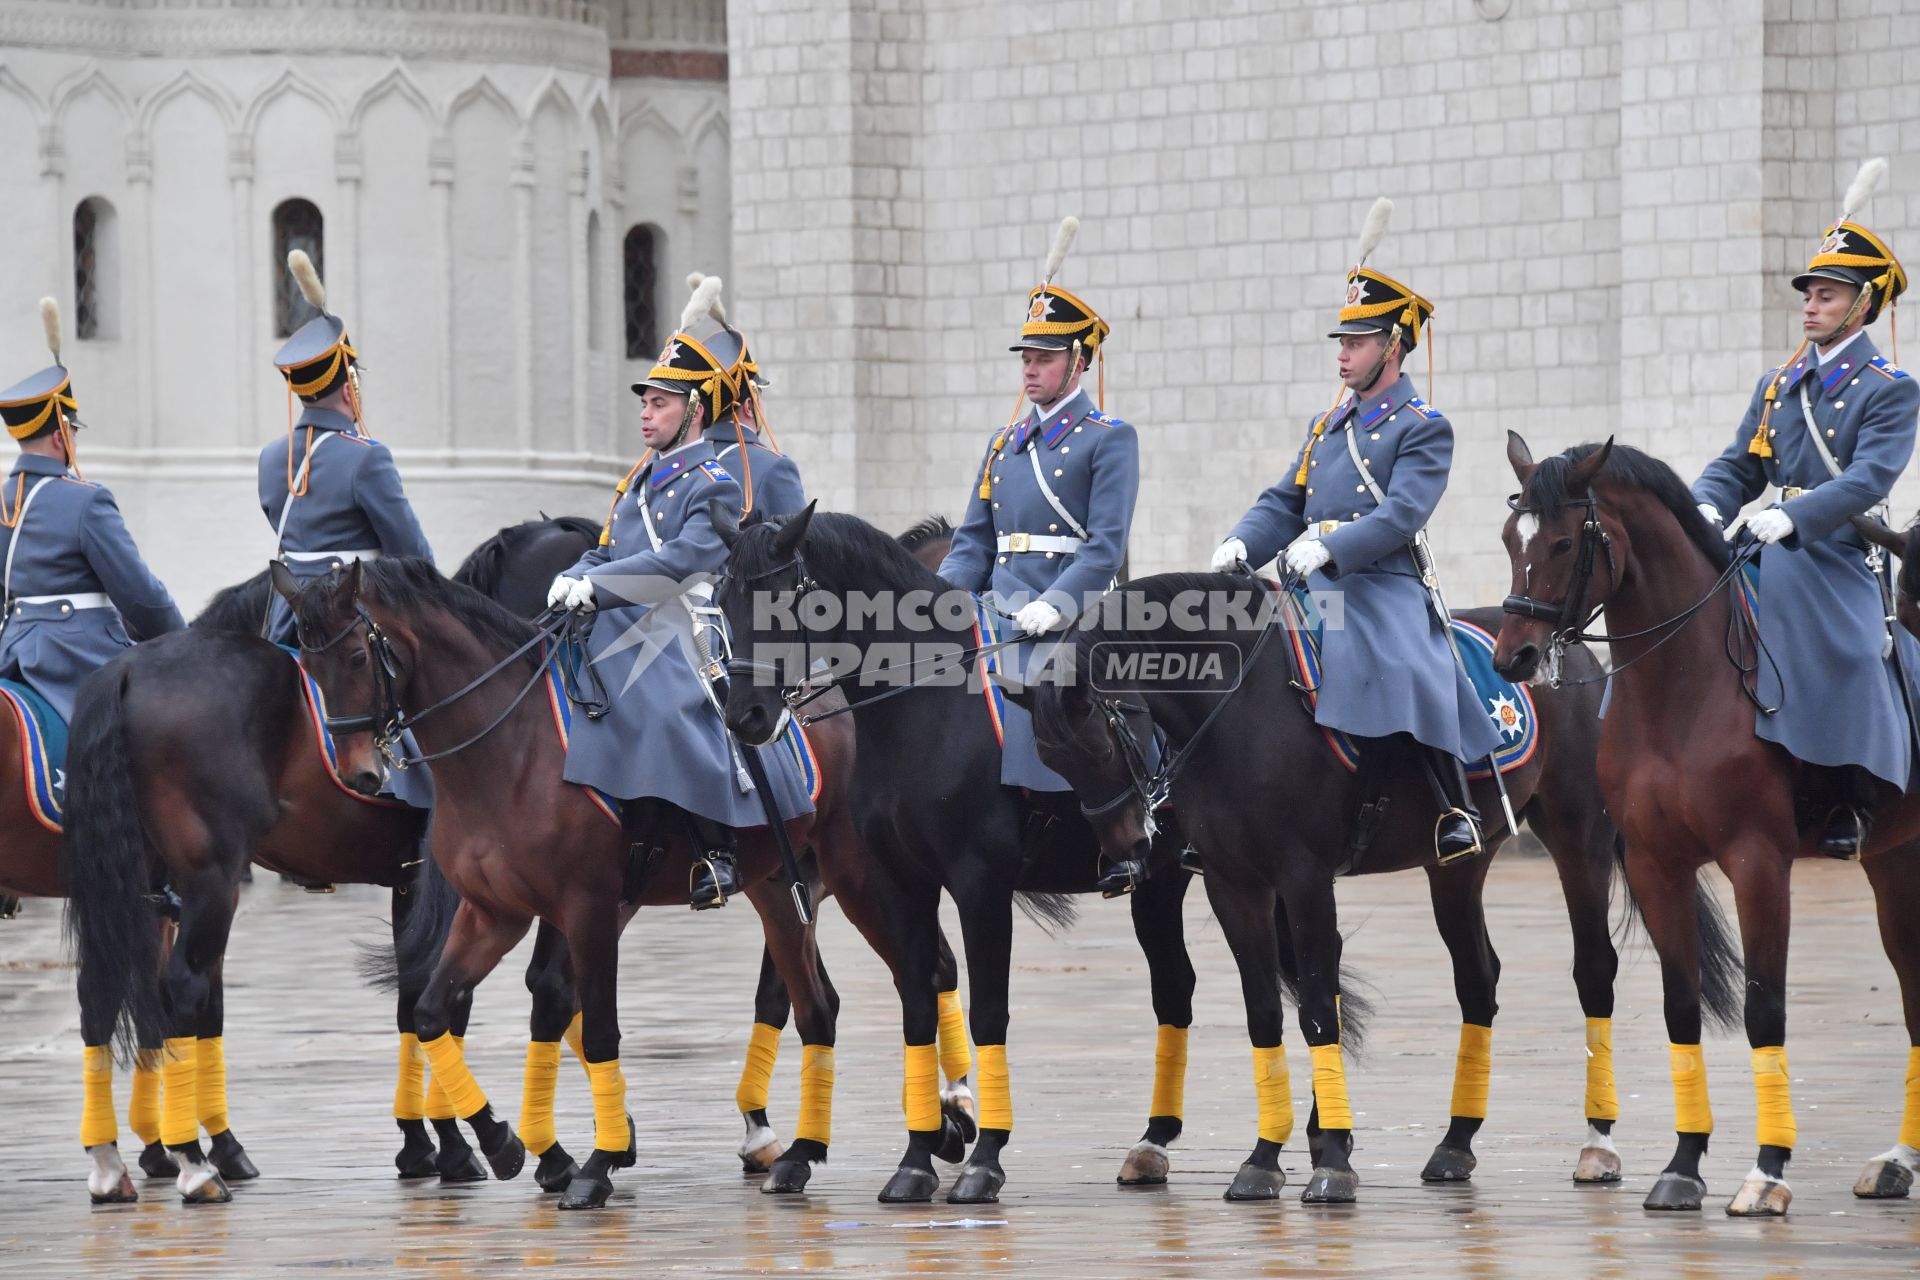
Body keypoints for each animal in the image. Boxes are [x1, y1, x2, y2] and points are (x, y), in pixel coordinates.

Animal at [61, 514, 599, 1205]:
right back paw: (196, 1163)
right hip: (210, 882)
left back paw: (114, 1165)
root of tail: (126, 668)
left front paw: (425, 1145)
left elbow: (413, 1001)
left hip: (145, 883)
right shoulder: (457, 888)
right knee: (182, 989)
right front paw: (481, 1146)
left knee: (102, 993)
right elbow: (451, 998)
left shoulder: (410, 883)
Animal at [718, 506, 1367, 1205]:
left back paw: (1320, 1140)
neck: (923, 710)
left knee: (1298, 983)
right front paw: (917, 1159)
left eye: (780, 599)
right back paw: (1161, 1143)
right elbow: (917, 1005)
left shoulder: (978, 882)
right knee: (1186, 987)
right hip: (1171, 877)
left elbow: (988, 1009)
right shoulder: (897, 883)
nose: (744, 715)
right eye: (722, 601)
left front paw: (983, 1159)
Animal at [1036, 571, 1743, 1205]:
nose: (1129, 848)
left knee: (1594, 970)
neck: (1236, 711)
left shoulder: (1303, 876)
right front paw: (1265, 1158)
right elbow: (1264, 1011)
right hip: (1457, 868)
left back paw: (1597, 1143)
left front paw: (1330, 1160)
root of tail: (1576, 655)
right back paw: (1456, 1142)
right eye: (1052, 759)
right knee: (1477, 978)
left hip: (1580, 839)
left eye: (1098, 743)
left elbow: (1317, 1007)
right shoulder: (1234, 885)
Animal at [1489, 435, 1920, 1220]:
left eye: (1564, 542)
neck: (1681, 691)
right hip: (1897, 860)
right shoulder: (1658, 864)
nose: (1514, 658)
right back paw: (1897, 1161)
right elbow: (1680, 1007)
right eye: (1511, 539)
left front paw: (1768, 1171)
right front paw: (1684, 1164)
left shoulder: (1758, 862)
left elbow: (1764, 1009)